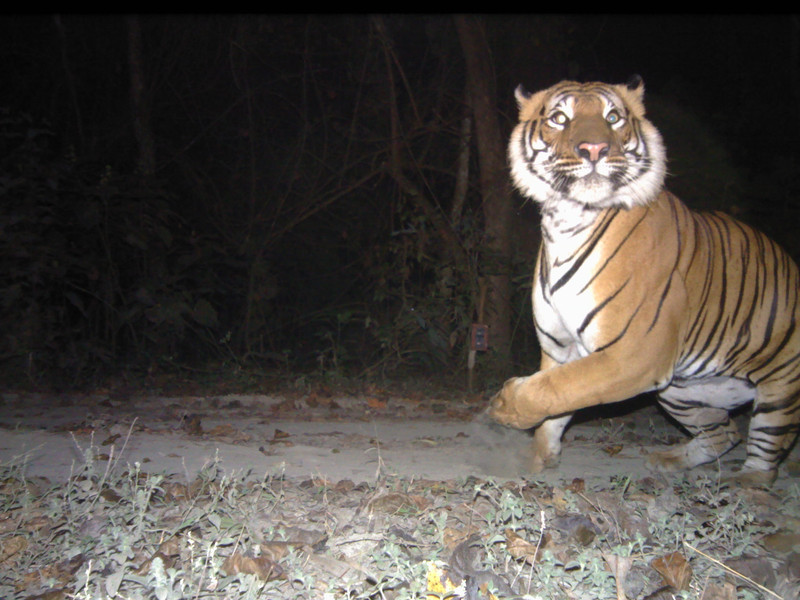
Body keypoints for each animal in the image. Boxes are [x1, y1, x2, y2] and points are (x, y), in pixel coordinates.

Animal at [489, 76, 800, 485]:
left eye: (613, 117)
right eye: (559, 118)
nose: (594, 148)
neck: (565, 221)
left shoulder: (633, 353)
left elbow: (559, 388)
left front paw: (504, 405)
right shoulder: (561, 346)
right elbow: (554, 403)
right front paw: (537, 461)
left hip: (779, 389)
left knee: (764, 451)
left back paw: (747, 486)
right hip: (681, 392)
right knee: (724, 432)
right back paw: (667, 461)